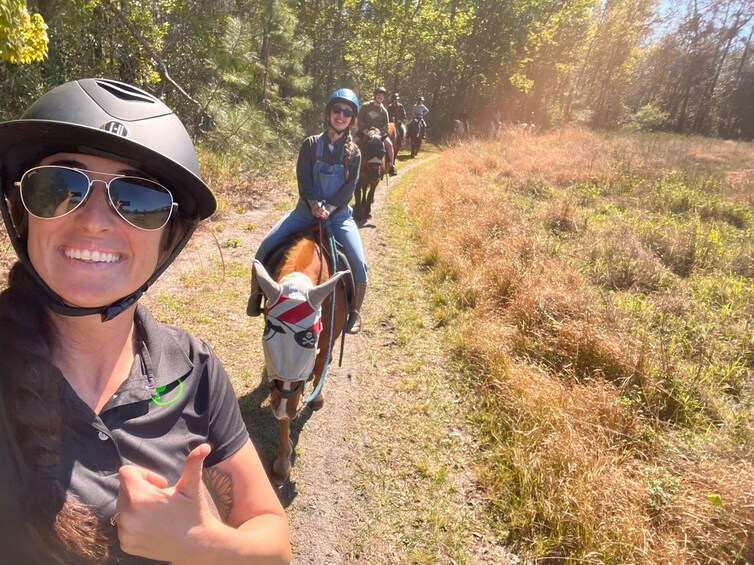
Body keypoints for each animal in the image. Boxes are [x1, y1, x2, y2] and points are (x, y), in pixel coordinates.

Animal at [251, 231, 348, 482]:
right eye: (266, 336)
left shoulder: (326, 340)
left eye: (310, 341)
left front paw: (317, 396)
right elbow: (285, 412)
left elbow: (320, 363)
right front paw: (282, 462)